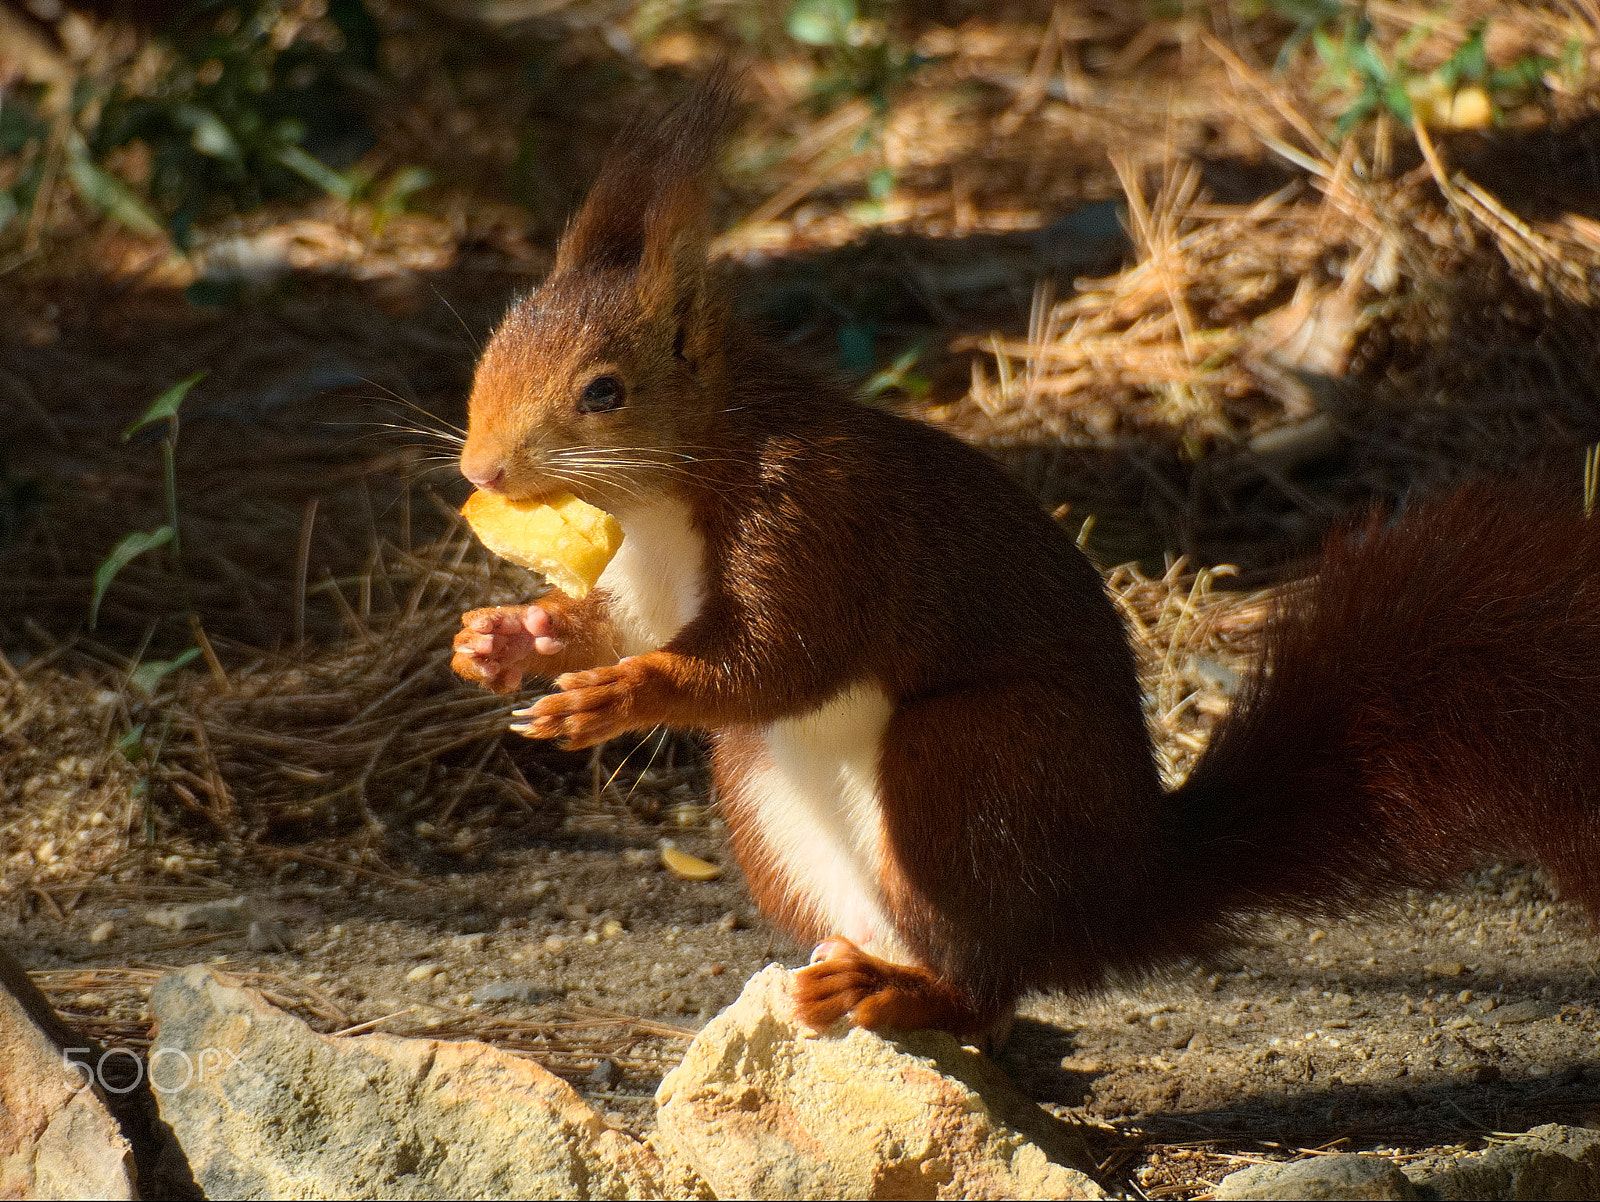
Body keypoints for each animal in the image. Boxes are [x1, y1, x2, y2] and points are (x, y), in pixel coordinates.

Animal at [448, 72, 1600, 1043]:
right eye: (489, 350)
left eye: (604, 391)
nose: (480, 467)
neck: (666, 500)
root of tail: (1127, 891)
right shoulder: (645, 580)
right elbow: (623, 626)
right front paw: (509, 639)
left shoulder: (817, 520)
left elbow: (778, 658)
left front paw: (613, 696)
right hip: (765, 796)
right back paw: (860, 979)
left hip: (969, 764)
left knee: (991, 979)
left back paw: (903, 990)